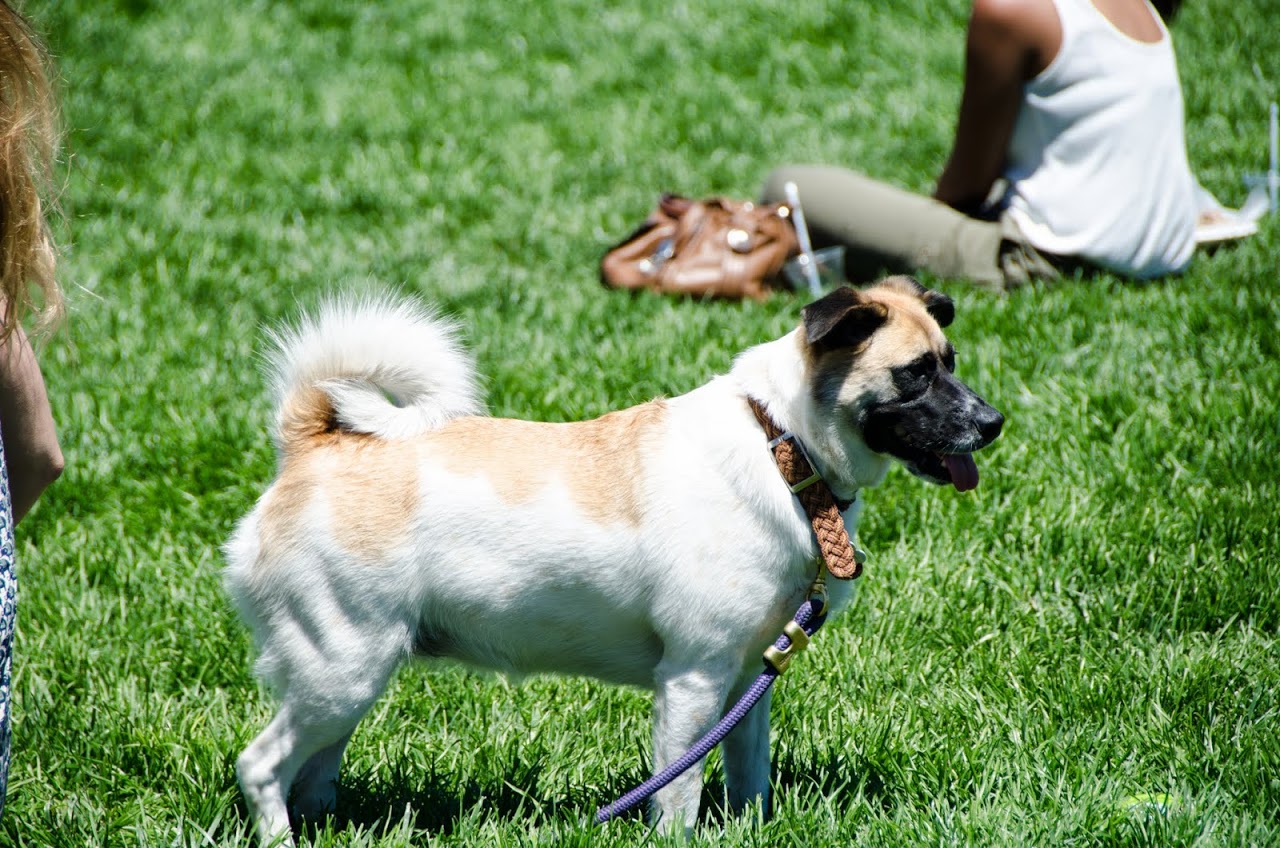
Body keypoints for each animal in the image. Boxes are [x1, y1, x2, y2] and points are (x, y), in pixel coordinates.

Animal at [222, 277, 998, 845]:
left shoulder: (748, 683)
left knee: (311, 775)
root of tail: (313, 444)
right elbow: (679, 790)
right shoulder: (693, 681)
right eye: (915, 375)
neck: (780, 446)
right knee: (260, 766)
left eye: (952, 363)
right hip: (343, 671)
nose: (992, 423)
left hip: (346, 685)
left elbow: (749, 777)